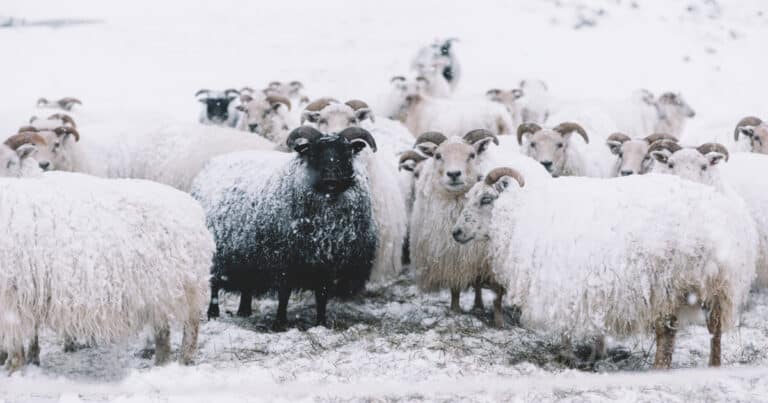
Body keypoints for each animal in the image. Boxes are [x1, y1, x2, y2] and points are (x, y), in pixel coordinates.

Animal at [0, 170, 214, 372]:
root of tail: (194, 208)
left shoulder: (12, 296)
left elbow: (14, 341)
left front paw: (13, 367)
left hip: (186, 288)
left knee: (191, 326)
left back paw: (184, 359)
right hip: (159, 291)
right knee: (163, 330)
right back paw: (162, 363)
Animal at [194, 128, 380, 330]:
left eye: (346, 152)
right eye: (313, 153)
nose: (331, 176)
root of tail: (212, 163)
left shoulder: (326, 265)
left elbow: (322, 295)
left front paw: (321, 323)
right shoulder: (284, 260)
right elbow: (284, 294)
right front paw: (279, 323)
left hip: (248, 253)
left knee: (247, 283)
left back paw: (244, 310)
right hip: (218, 253)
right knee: (214, 284)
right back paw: (213, 313)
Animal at [452, 167, 760, 370]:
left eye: (485, 199)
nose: (455, 232)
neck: (519, 215)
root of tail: (725, 221)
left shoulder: (565, 283)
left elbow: (567, 325)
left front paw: (569, 355)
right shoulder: (592, 287)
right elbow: (596, 325)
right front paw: (595, 353)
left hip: (667, 285)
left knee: (667, 333)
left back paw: (659, 368)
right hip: (717, 289)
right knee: (714, 331)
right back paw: (713, 366)